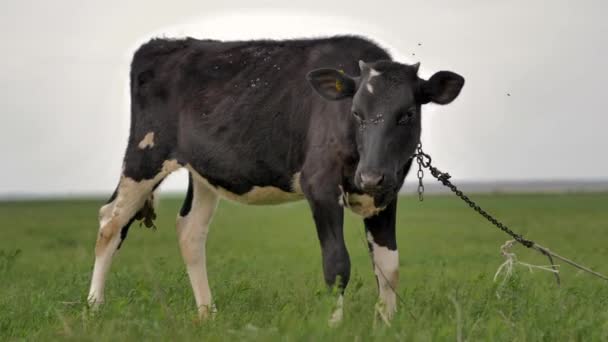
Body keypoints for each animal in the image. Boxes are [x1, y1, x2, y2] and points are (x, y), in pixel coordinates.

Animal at [88, 36, 464, 322]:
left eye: (408, 114)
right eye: (357, 113)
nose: (370, 175)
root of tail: (165, 43)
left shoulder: (386, 193)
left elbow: (389, 265)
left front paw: (386, 324)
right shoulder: (319, 184)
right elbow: (337, 263)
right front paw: (334, 324)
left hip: (203, 171)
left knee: (190, 231)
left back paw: (208, 314)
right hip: (145, 155)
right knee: (111, 222)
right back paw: (94, 307)